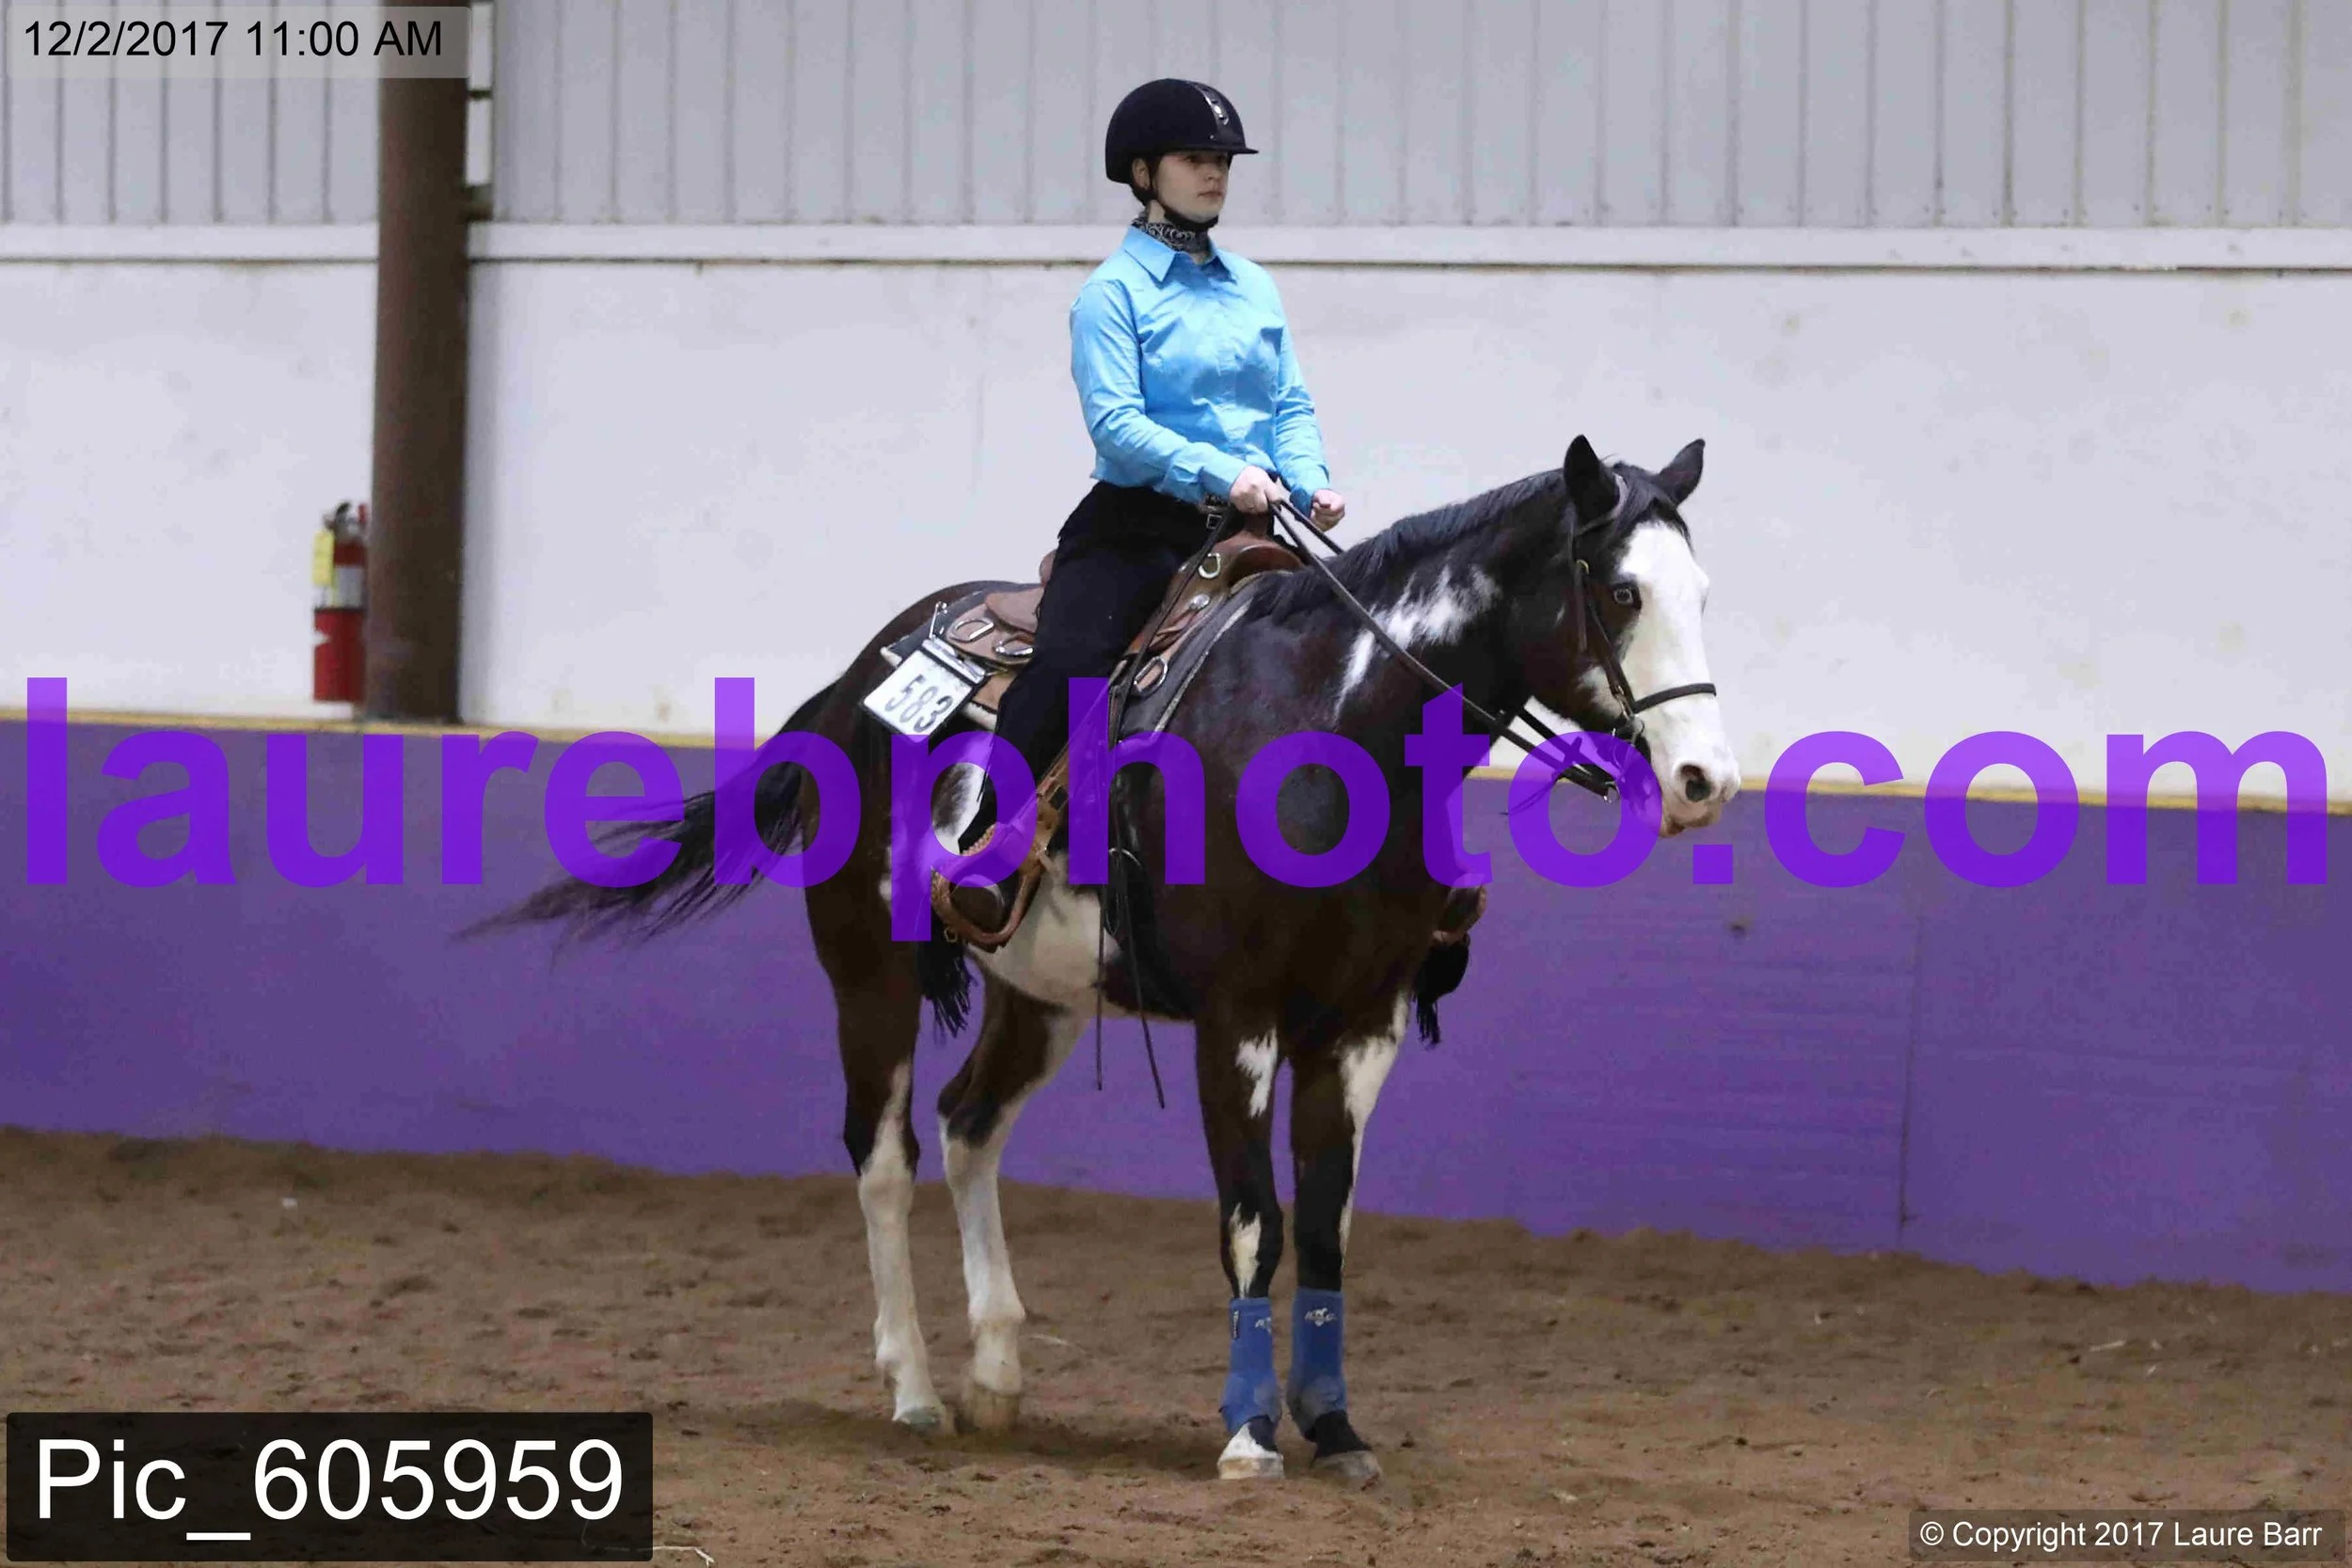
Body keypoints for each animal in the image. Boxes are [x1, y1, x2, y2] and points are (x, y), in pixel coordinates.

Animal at [470, 433, 1739, 1484]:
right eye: (1620, 591)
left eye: (1703, 593)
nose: (1705, 781)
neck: (1333, 724)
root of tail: (858, 677)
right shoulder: (1240, 1019)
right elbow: (1252, 1220)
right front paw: (1247, 1435)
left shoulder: (1361, 1024)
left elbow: (1325, 1225)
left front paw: (1334, 1429)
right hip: (867, 968)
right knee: (880, 1154)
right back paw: (915, 1389)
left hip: (1037, 993)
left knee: (968, 1121)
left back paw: (995, 1370)